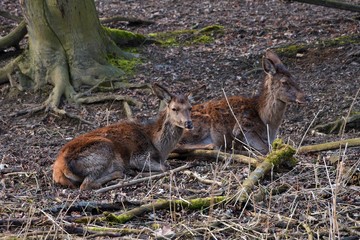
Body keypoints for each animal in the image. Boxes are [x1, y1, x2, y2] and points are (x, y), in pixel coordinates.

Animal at [52, 83, 197, 190]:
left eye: (190, 107)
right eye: (174, 108)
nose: (188, 123)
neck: (160, 147)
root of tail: (59, 169)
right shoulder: (139, 156)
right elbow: (164, 167)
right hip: (104, 149)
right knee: (86, 184)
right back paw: (122, 173)